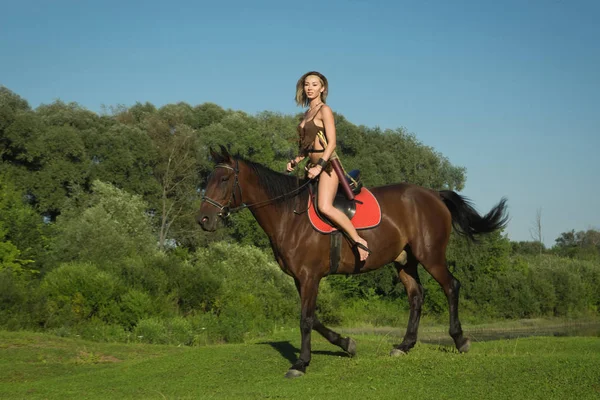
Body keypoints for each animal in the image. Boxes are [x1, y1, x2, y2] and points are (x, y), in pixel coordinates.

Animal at [199, 145, 508, 376]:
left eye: (224, 180)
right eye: (208, 180)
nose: (203, 220)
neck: (290, 214)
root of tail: (434, 194)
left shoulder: (309, 277)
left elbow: (306, 319)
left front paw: (301, 363)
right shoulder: (302, 279)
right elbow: (314, 318)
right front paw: (346, 344)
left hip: (430, 256)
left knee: (451, 286)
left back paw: (460, 339)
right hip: (404, 261)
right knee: (416, 296)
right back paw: (404, 345)